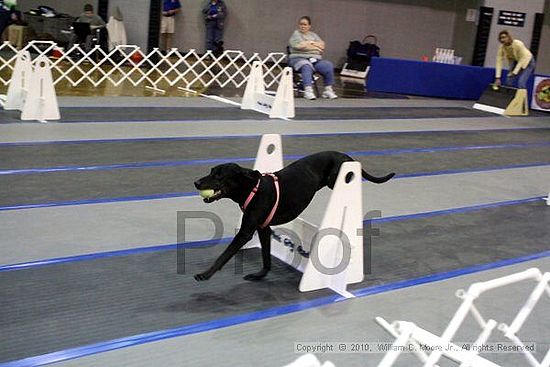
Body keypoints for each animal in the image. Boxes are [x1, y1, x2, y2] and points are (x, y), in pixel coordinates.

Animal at [194, 151, 396, 284]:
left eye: (219, 176)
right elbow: (265, 256)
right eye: (211, 171)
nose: (196, 182)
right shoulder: (263, 228)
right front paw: (260, 275)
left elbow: (224, 255)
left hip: (338, 180)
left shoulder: (245, 233)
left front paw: (205, 274)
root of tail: (347, 156)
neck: (252, 188)